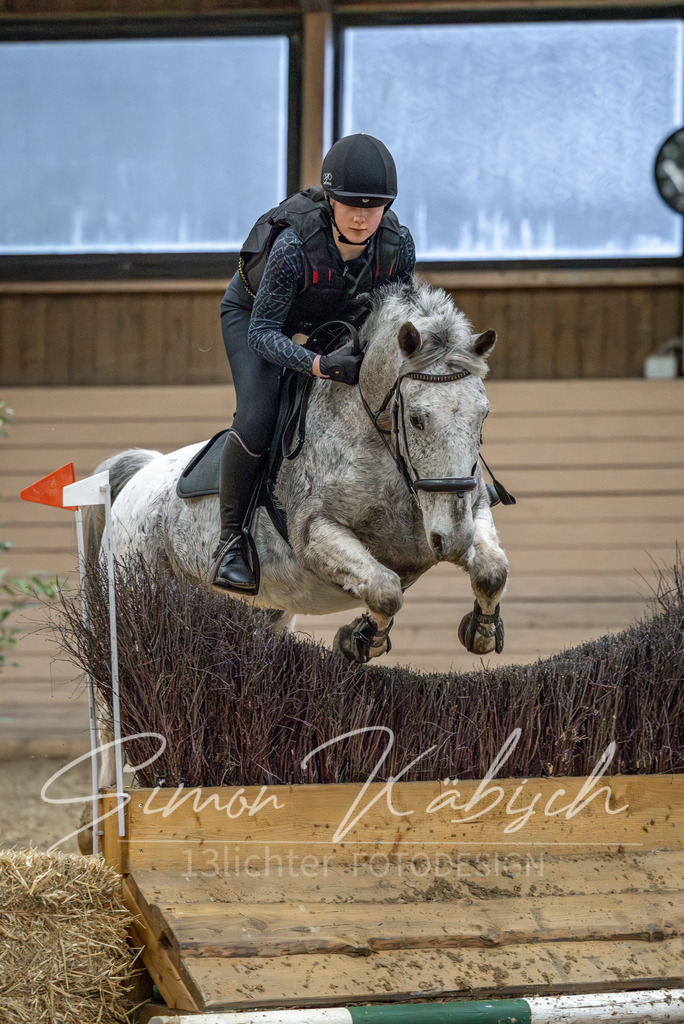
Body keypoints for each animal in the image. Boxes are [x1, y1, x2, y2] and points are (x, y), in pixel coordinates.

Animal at [83, 280, 508, 790]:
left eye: (483, 417)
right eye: (419, 419)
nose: (453, 541)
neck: (382, 446)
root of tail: (141, 474)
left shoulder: (467, 512)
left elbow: (490, 570)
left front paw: (481, 630)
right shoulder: (316, 534)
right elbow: (384, 589)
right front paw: (361, 639)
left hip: (261, 613)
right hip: (130, 598)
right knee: (111, 695)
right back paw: (111, 786)